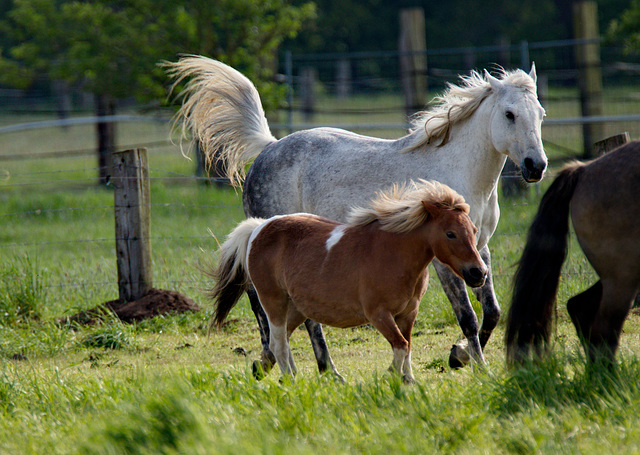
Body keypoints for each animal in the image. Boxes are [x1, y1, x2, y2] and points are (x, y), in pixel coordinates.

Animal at [209, 180, 484, 382]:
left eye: (473, 230)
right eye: (450, 233)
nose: (478, 273)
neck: (392, 253)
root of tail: (259, 228)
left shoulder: (408, 313)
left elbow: (407, 346)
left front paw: (409, 381)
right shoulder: (379, 314)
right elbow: (401, 345)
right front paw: (390, 376)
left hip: (295, 309)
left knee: (281, 342)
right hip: (273, 302)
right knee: (278, 344)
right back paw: (290, 381)